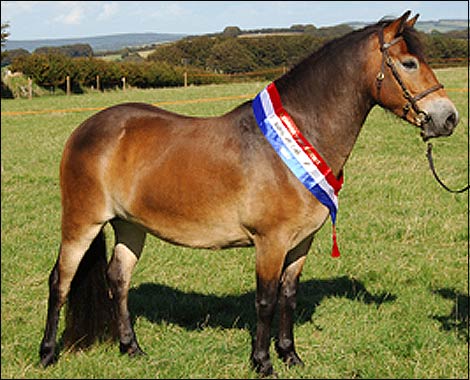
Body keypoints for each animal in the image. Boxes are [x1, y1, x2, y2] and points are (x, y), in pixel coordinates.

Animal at [39, 11, 458, 378]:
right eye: (408, 63)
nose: (448, 117)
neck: (297, 135)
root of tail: (85, 129)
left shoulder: (301, 242)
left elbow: (289, 296)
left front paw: (290, 356)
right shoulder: (269, 242)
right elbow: (266, 300)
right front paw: (263, 363)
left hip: (130, 226)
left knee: (118, 279)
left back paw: (132, 349)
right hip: (82, 221)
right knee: (60, 280)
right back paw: (47, 354)